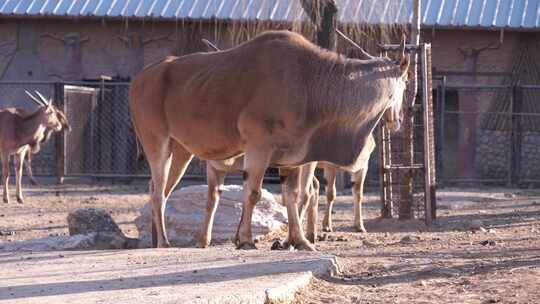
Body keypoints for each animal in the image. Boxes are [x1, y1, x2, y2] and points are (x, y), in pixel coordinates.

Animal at [132, 30, 410, 249]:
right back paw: (164, 242)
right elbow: (254, 193)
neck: (311, 81)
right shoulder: (259, 148)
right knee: (158, 193)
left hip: (181, 152)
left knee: (160, 189)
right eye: (406, 83)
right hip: (157, 144)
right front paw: (246, 240)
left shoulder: (292, 159)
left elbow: (293, 195)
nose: (398, 119)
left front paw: (300, 241)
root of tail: (140, 78)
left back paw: (160, 239)